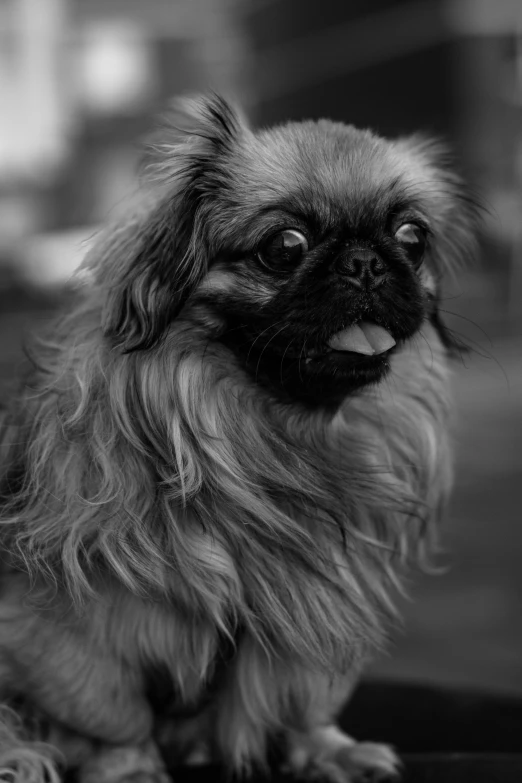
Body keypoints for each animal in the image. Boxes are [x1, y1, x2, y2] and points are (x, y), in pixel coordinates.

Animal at [0, 98, 476, 783]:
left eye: (413, 238)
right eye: (285, 246)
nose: (365, 262)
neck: (269, 439)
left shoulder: (308, 609)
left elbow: (301, 696)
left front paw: (330, 750)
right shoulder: (60, 632)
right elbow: (113, 715)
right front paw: (133, 768)